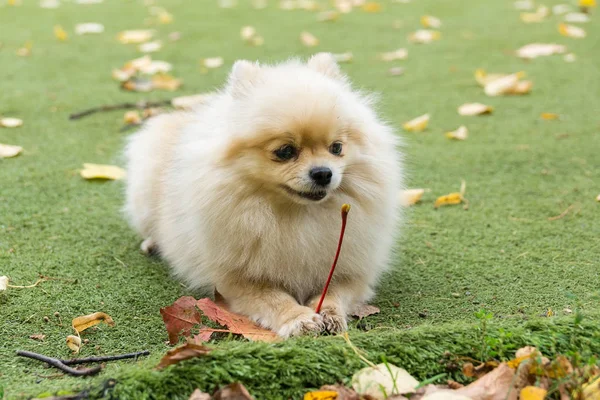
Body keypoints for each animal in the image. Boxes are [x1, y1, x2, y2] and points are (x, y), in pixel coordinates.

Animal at [123, 53, 400, 338]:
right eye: (285, 151)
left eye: (337, 148)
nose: (323, 173)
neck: (297, 217)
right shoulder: (236, 280)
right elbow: (273, 298)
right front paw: (298, 318)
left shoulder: (353, 270)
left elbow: (337, 291)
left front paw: (330, 313)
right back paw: (153, 243)